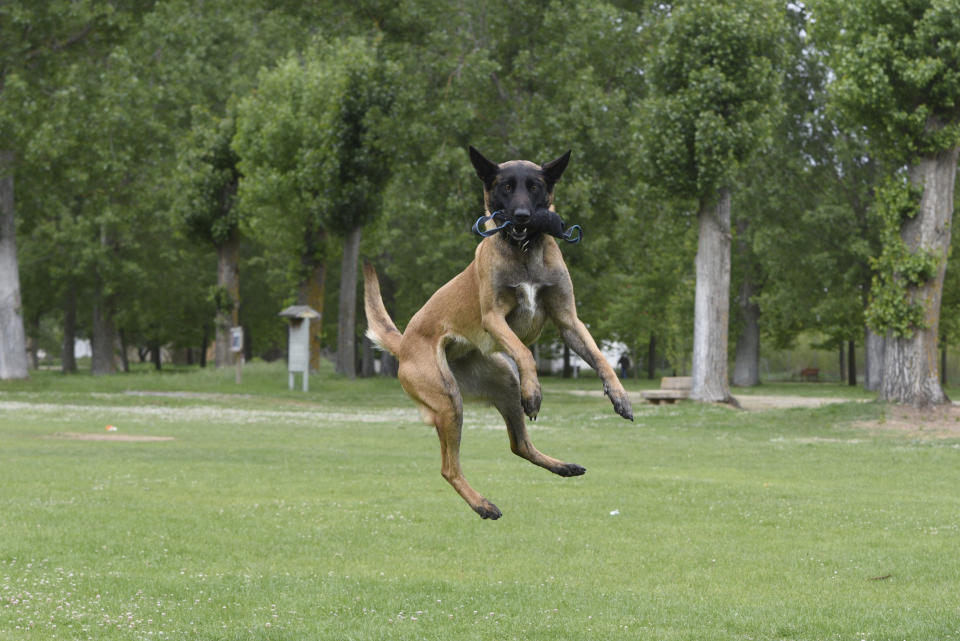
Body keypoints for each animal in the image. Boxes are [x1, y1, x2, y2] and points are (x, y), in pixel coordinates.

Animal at [364, 148, 632, 516]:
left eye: (533, 186)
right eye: (505, 186)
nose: (521, 217)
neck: (524, 252)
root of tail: (403, 344)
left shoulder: (569, 321)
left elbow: (601, 358)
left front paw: (620, 396)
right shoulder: (494, 319)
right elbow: (525, 352)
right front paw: (534, 392)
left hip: (503, 381)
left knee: (519, 445)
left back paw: (562, 466)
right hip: (448, 398)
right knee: (449, 467)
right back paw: (482, 505)